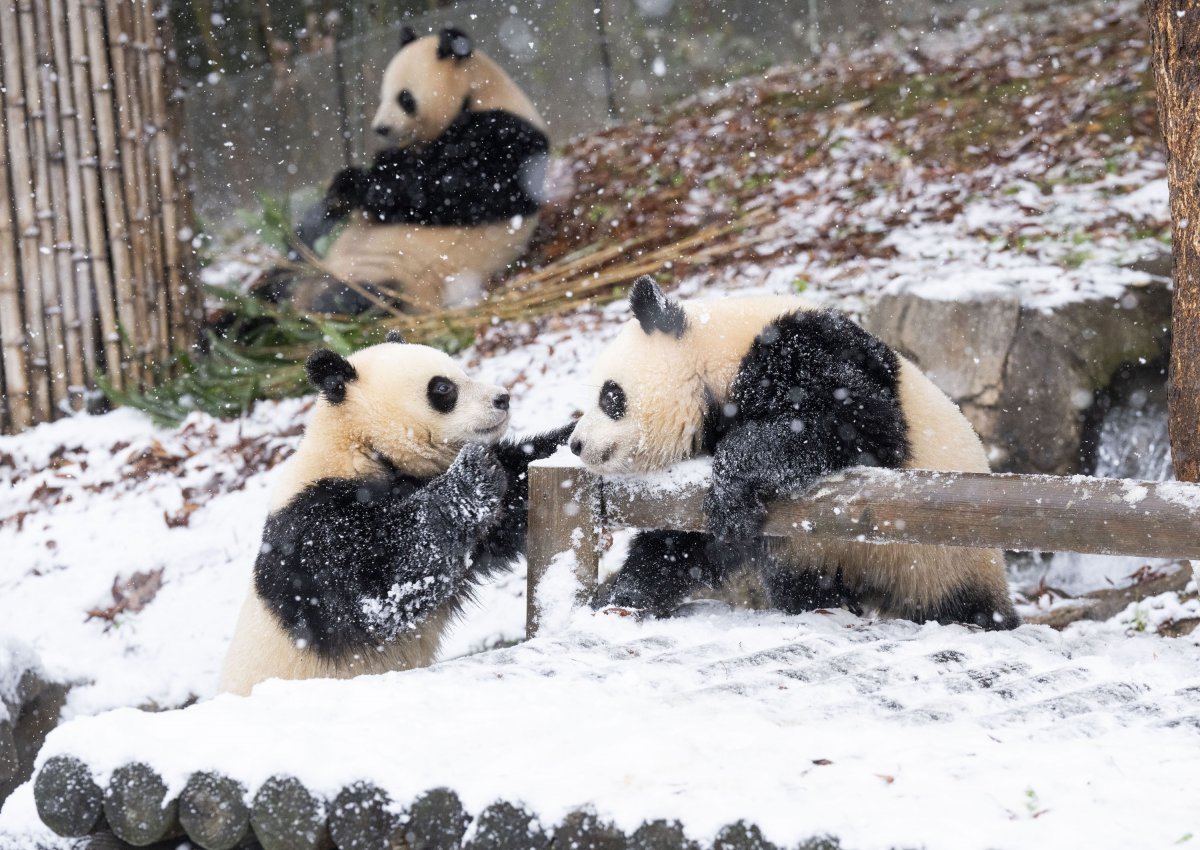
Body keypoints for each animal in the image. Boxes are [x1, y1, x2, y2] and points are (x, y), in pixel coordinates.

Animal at [223, 333, 573, 696]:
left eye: (462, 372)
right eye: (443, 388)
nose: (502, 398)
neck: (359, 446)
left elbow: (514, 495)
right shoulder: (313, 531)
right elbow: (380, 590)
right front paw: (472, 472)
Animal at [288, 25, 549, 312]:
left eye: (405, 98)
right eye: (382, 97)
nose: (381, 128)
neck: (477, 93)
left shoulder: (510, 137)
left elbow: (464, 189)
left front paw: (363, 185)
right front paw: (346, 185)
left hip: (402, 279)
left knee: (361, 298)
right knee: (306, 242)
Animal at [566, 278, 1017, 629]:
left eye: (610, 397)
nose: (575, 444)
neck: (718, 356)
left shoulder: (803, 350)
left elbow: (858, 424)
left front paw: (731, 489)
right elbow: (689, 542)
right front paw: (621, 598)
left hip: (944, 556)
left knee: (963, 604)